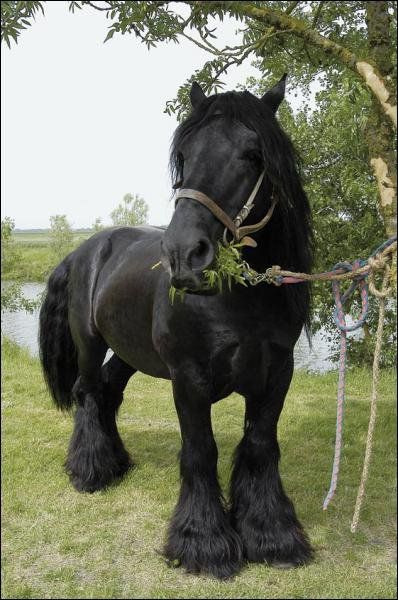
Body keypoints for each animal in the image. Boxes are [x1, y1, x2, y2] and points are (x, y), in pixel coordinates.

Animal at [39, 77, 314, 580]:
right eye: (183, 155)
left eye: (253, 153)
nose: (185, 255)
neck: (239, 299)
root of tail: (86, 248)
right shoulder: (189, 380)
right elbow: (201, 451)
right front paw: (203, 543)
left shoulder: (277, 374)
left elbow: (260, 445)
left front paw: (272, 537)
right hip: (89, 344)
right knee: (88, 394)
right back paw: (91, 471)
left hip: (129, 352)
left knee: (109, 392)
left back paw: (117, 462)